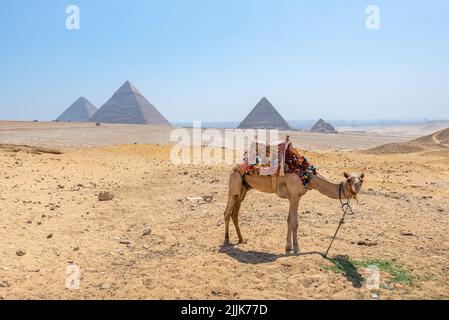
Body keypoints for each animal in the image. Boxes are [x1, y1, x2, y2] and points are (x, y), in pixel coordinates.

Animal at [222, 169, 362, 254]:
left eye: (361, 180)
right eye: (349, 180)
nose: (357, 188)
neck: (309, 177)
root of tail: (234, 168)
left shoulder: (293, 196)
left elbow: (289, 220)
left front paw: (288, 246)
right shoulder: (295, 195)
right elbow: (295, 222)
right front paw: (296, 248)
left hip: (244, 189)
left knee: (235, 213)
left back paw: (241, 239)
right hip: (235, 184)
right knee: (227, 212)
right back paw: (227, 240)